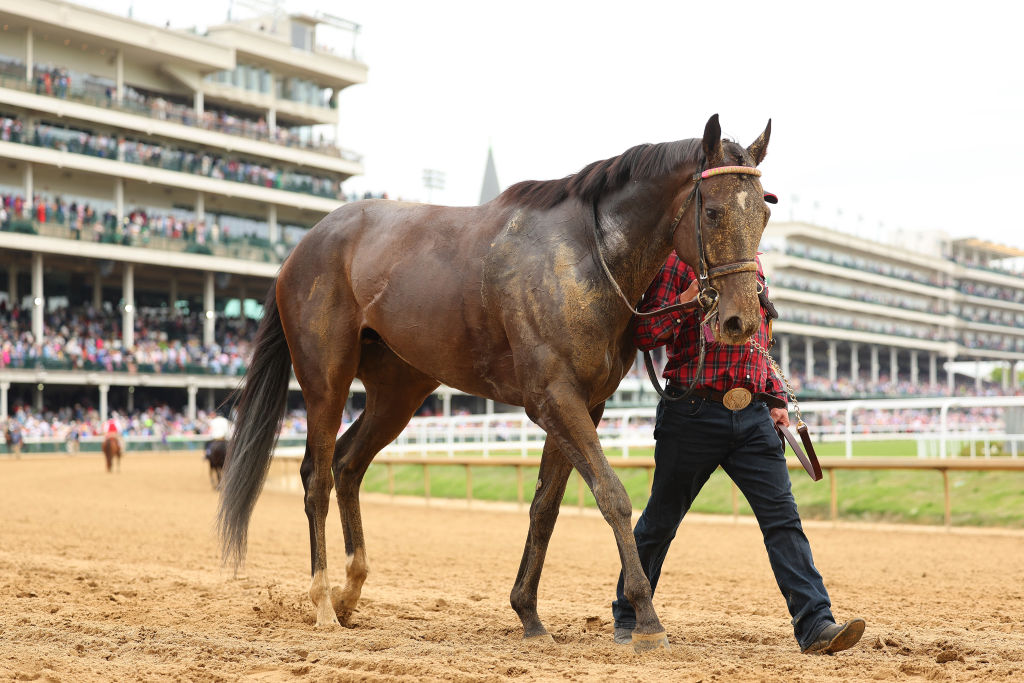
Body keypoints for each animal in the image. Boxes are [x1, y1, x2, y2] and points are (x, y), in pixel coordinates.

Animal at [218, 114, 774, 652]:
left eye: (764, 215)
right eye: (713, 212)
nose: (742, 320)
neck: (585, 256)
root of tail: (303, 245)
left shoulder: (585, 404)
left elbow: (546, 506)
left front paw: (528, 613)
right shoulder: (553, 398)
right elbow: (612, 495)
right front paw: (648, 619)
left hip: (398, 391)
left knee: (348, 463)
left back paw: (350, 592)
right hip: (325, 379)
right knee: (317, 477)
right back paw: (323, 605)